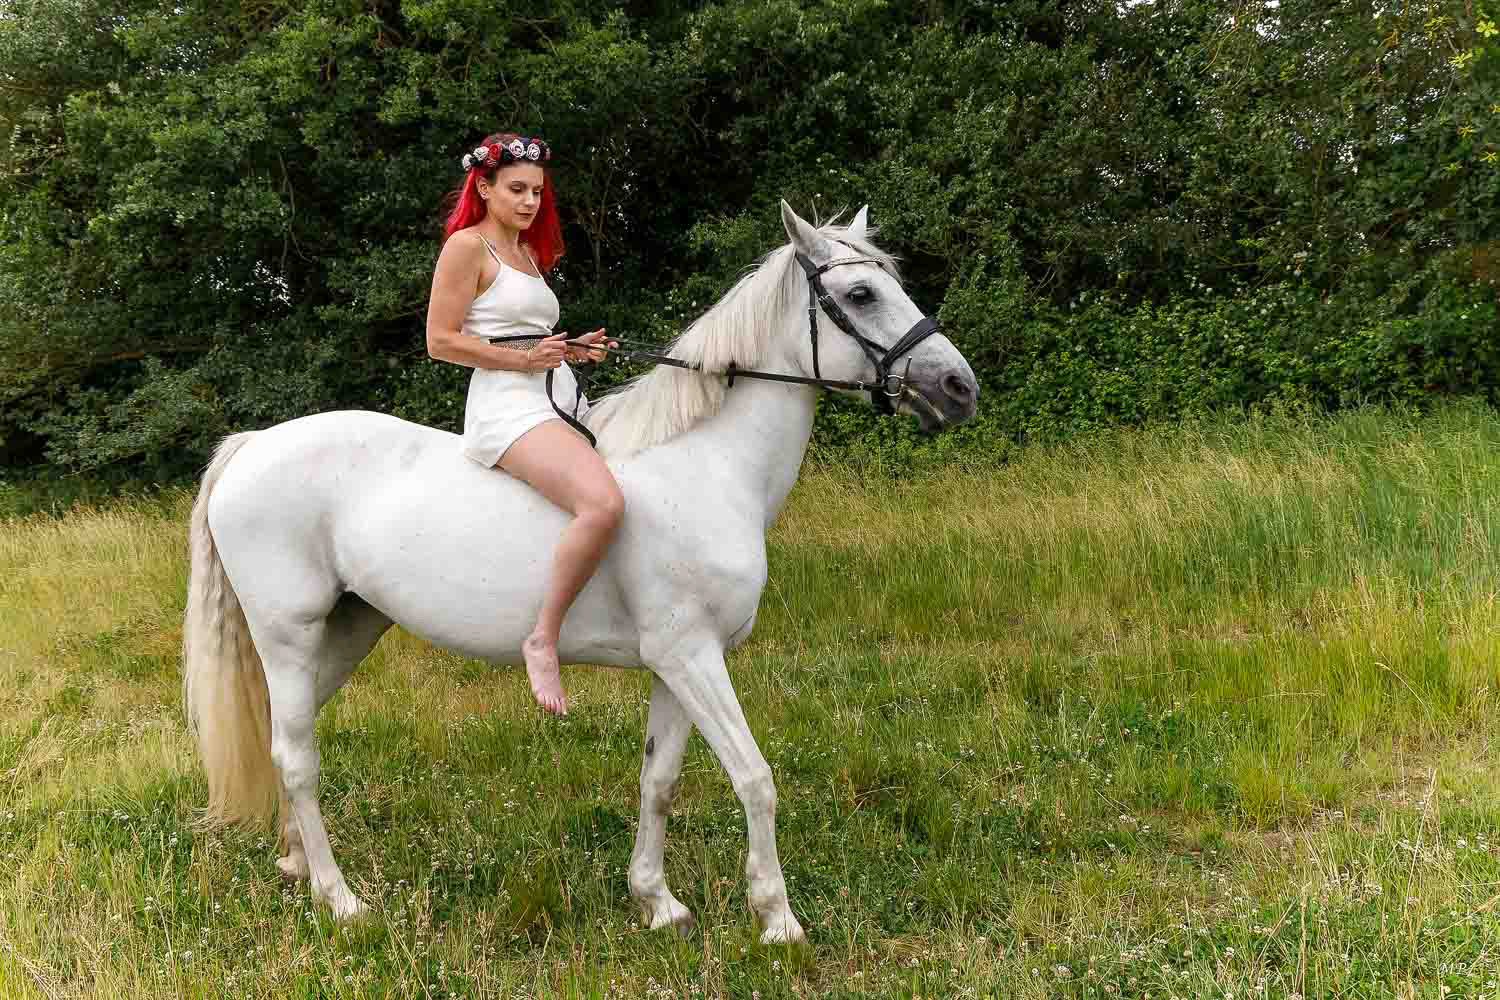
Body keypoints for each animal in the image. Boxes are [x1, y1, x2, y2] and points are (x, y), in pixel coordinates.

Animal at [181, 201, 979, 944]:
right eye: (861, 294)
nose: (958, 386)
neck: (708, 466)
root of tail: (253, 445)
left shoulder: (676, 666)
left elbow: (659, 780)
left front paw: (657, 903)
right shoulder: (694, 657)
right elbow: (755, 778)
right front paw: (776, 919)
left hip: (349, 629)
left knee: (288, 734)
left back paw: (295, 864)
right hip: (288, 635)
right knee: (295, 756)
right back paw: (340, 897)